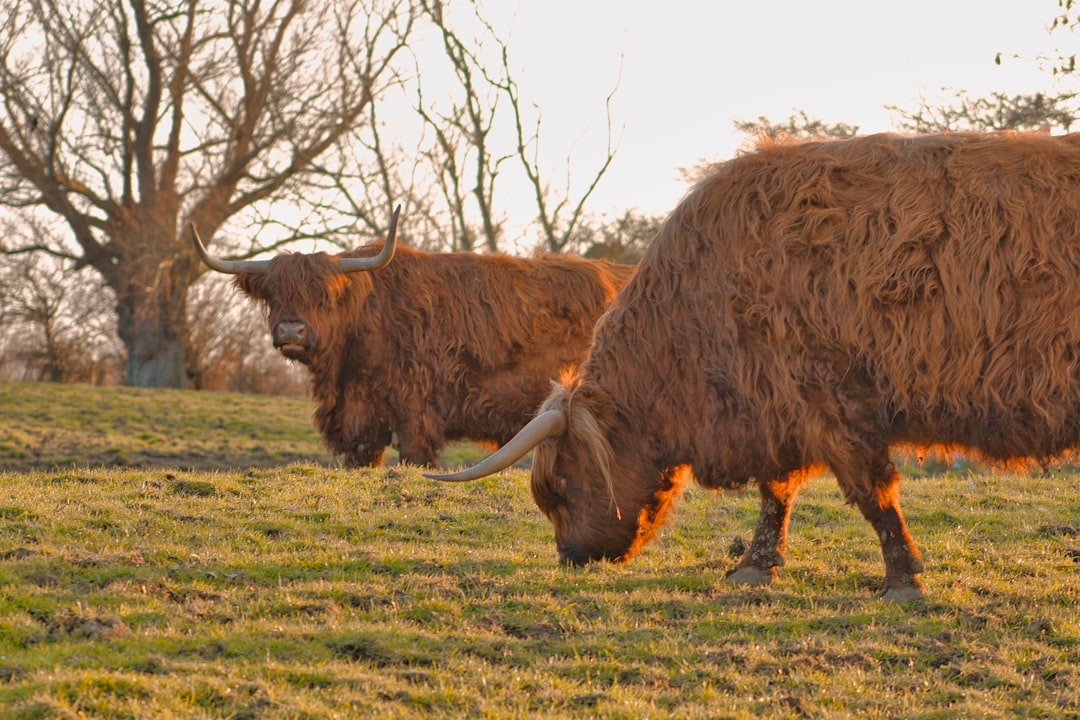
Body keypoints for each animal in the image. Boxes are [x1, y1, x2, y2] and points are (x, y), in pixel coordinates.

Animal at [429, 131, 1080, 604]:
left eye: (562, 483)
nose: (570, 558)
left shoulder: (831, 398)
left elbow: (873, 495)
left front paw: (903, 581)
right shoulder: (778, 406)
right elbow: (776, 494)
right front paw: (754, 568)